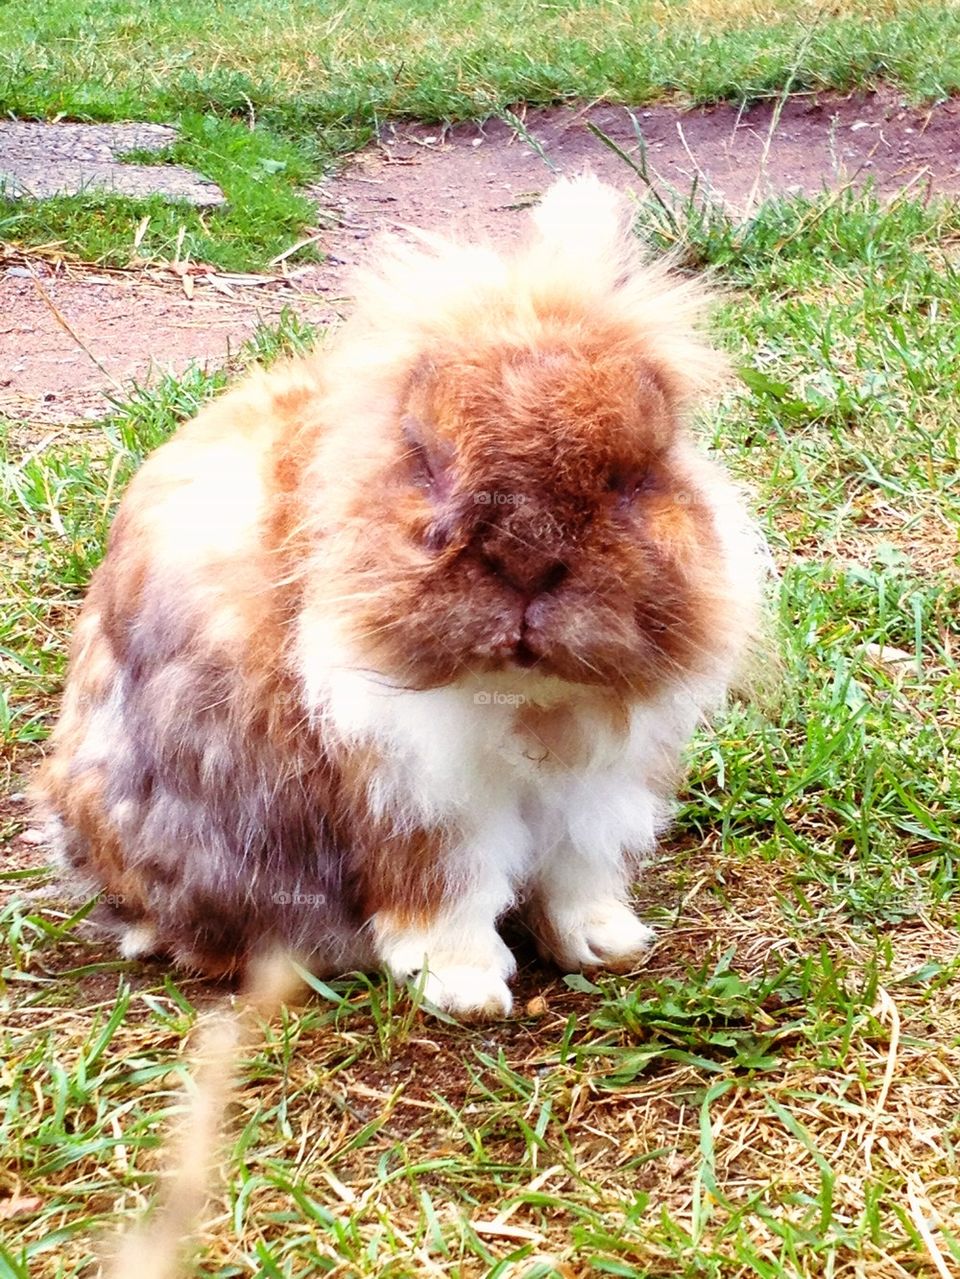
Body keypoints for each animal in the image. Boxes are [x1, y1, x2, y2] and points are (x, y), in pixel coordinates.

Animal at [32, 174, 765, 1019]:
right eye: (426, 457)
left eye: (635, 474)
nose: (526, 559)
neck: (523, 704)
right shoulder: (413, 799)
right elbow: (445, 892)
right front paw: (467, 989)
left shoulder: (591, 796)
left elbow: (575, 873)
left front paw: (606, 943)